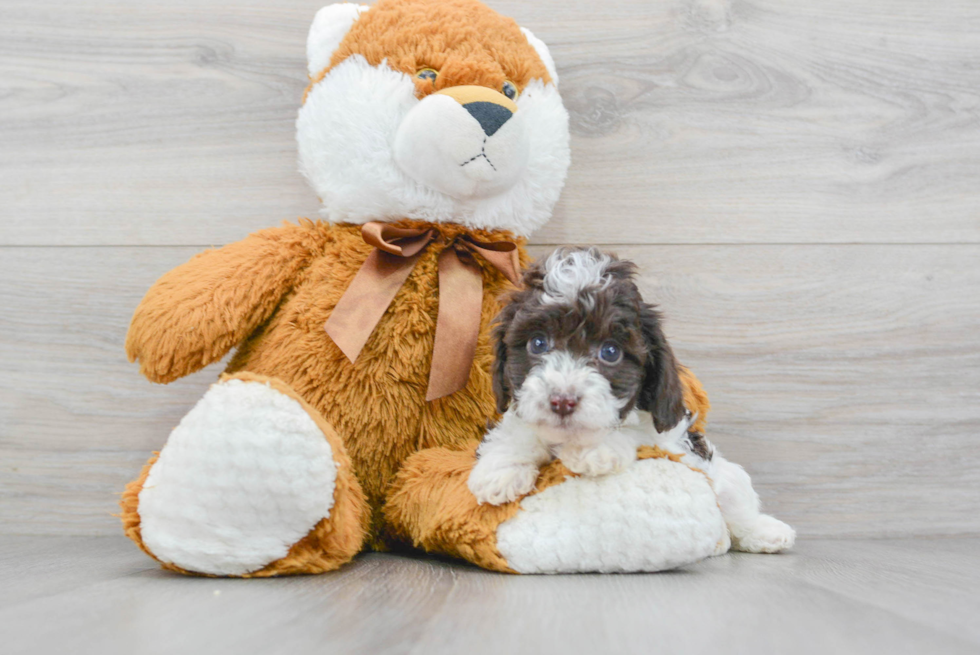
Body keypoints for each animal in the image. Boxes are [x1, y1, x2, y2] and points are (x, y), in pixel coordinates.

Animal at [468, 249, 796, 556]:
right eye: (537, 343)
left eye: (610, 352)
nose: (562, 401)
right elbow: (516, 428)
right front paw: (502, 468)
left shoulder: (668, 435)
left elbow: (636, 429)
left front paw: (593, 450)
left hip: (720, 471)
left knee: (736, 499)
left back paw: (766, 532)